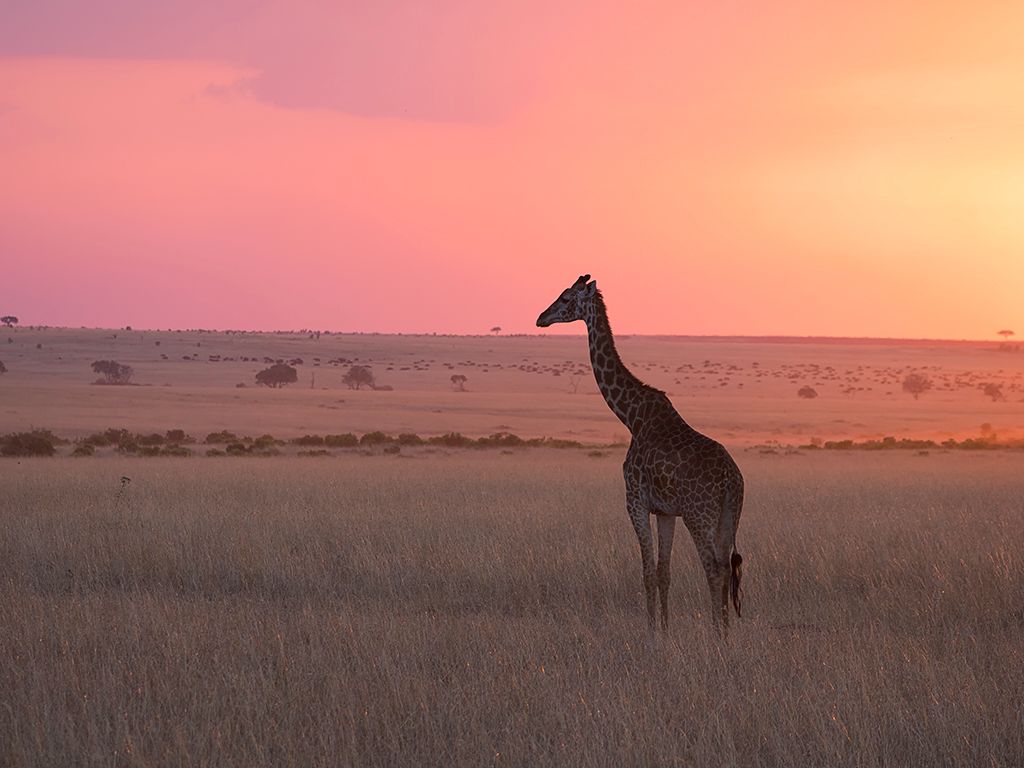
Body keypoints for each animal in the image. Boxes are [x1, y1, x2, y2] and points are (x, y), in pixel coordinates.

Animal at [537, 275, 745, 634]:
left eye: (565, 298)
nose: (541, 318)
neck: (631, 415)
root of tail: (732, 480)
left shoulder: (634, 500)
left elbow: (647, 572)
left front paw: (651, 634)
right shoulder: (665, 511)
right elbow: (664, 572)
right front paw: (665, 628)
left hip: (699, 515)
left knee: (714, 568)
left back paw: (717, 635)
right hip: (728, 517)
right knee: (726, 566)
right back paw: (727, 634)